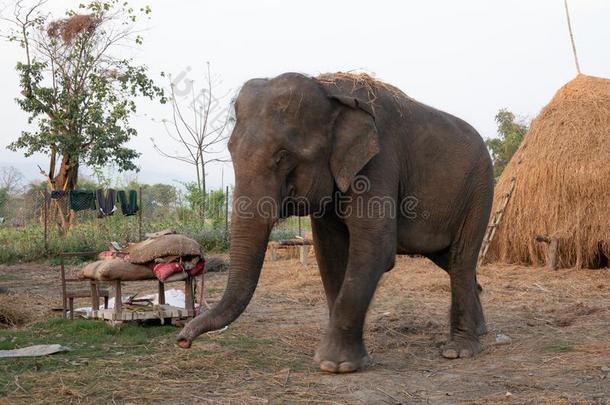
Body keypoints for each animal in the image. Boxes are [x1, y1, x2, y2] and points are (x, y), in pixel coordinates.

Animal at [177, 72, 494, 372]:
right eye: (231, 150)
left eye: (283, 156)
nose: (182, 340)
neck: (329, 89)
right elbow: (329, 252)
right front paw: (338, 358)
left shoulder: (378, 163)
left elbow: (374, 249)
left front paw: (335, 365)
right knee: (450, 259)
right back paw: (480, 330)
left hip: (479, 189)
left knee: (462, 258)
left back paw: (459, 350)